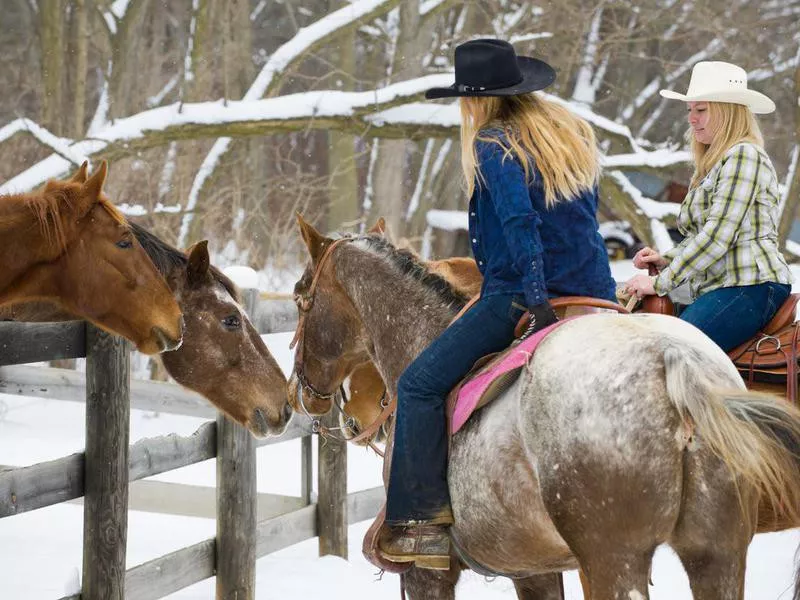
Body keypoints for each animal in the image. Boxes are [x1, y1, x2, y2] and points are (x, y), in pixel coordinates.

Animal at [290, 216, 800, 600]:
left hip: (616, 559)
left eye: (300, 298)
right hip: (717, 553)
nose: (309, 395)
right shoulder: (535, 568)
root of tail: (673, 361)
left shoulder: (427, 573)